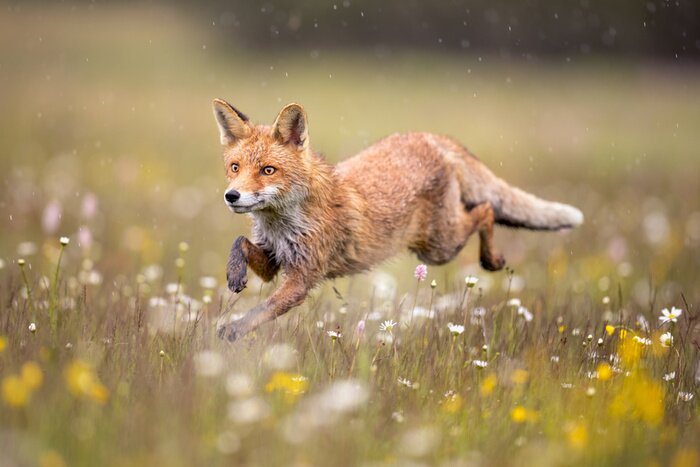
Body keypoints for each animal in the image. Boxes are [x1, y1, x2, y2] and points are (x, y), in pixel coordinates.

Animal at [212, 99, 583, 342]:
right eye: (235, 167)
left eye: (267, 170)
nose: (232, 196)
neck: (282, 222)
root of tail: (430, 136)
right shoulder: (274, 260)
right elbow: (239, 243)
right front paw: (234, 275)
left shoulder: (303, 277)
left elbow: (263, 310)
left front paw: (233, 329)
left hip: (438, 246)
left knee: (485, 210)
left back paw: (492, 259)